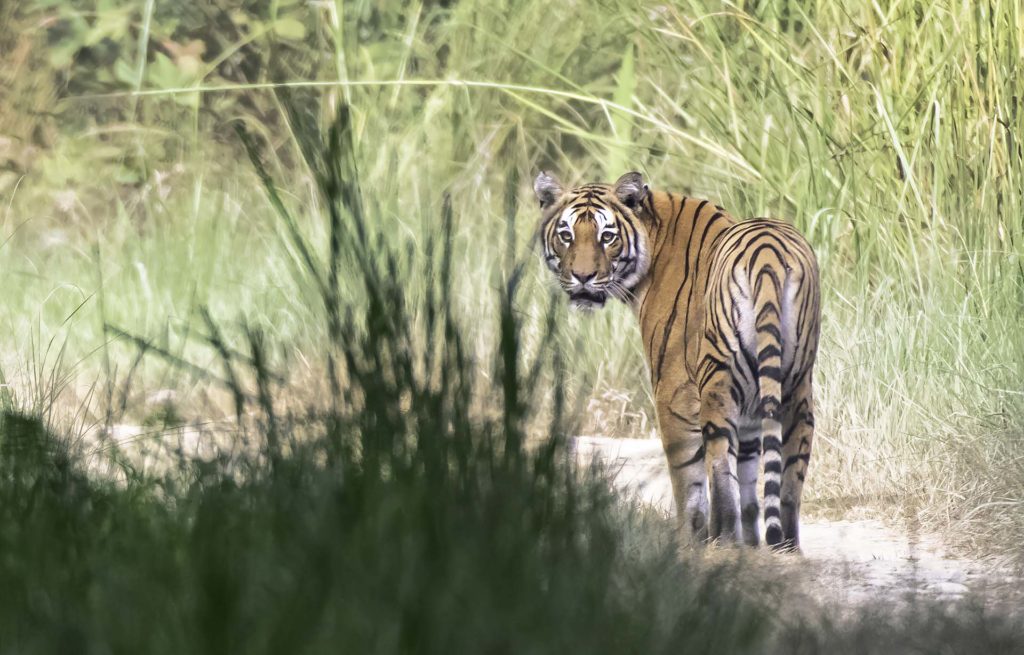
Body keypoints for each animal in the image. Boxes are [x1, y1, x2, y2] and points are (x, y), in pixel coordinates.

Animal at [532, 169, 819, 548]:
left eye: (607, 237)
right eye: (566, 236)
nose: (582, 277)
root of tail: (768, 254)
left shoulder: (674, 393)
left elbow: (689, 481)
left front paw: (689, 542)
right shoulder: (750, 411)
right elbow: (749, 476)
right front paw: (752, 547)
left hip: (716, 383)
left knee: (718, 468)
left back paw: (723, 541)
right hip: (797, 387)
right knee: (788, 480)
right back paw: (786, 548)